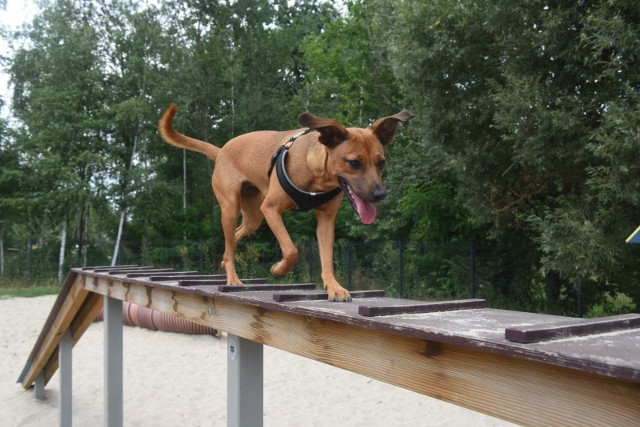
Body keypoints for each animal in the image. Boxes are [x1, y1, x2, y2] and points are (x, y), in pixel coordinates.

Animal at [158, 105, 412, 302]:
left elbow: (326, 259)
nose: (380, 194)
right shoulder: (271, 209)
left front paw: (334, 287)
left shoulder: (325, 220)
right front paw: (278, 268)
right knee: (230, 241)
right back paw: (232, 277)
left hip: (253, 217)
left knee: (235, 237)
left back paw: (224, 261)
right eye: (354, 163)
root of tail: (221, 151)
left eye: (381, 162)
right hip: (232, 208)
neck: (316, 173)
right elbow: (291, 250)